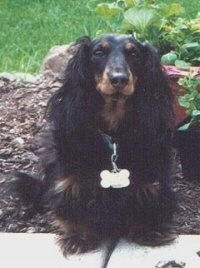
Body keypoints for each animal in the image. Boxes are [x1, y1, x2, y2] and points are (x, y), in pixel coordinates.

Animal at [14, 34, 176, 266]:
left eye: (134, 54)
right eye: (99, 52)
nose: (119, 79)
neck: (113, 136)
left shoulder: (151, 175)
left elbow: (148, 195)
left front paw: (149, 229)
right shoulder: (70, 177)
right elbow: (72, 198)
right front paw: (79, 235)